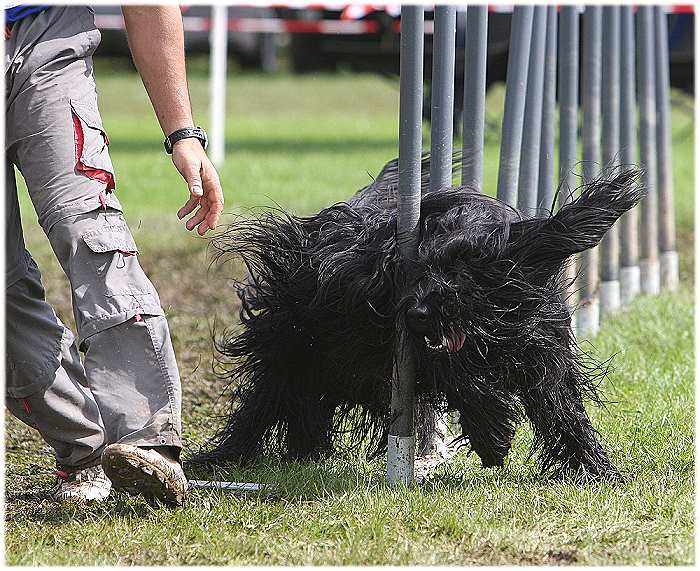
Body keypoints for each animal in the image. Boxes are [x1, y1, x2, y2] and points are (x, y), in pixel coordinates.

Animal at [194, 158, 644, 482]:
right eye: (422, 266)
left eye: (467, 263)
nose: (419, 313)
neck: (497, 324)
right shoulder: (409, 344)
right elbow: (461, 378)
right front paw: (493, 436)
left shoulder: (542, 351)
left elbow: (563, 411)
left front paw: (599, 471)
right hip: (290, 342)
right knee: (263, 401)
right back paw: (222, 458)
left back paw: (304, 451)